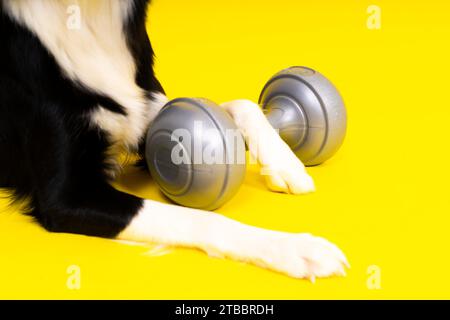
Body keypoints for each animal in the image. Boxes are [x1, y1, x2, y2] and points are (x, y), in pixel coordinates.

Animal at [0, 0, 348, 278]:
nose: (284, 163)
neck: (88, 19)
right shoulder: (65, 197)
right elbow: (206, 220)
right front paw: (294, 248)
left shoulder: (153, 112)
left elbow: (241, 104)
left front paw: (285, 163)